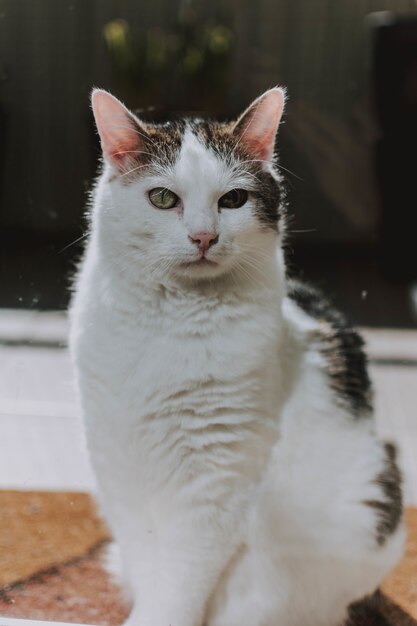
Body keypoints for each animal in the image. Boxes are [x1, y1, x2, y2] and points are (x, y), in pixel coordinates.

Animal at [70, 88, 404, 624]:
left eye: (233, 200)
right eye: (163, 198)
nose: (204, 236)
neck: (169, 324)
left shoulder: (217, 479)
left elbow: (179, 582)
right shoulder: (118, 463)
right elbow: (147, 561)